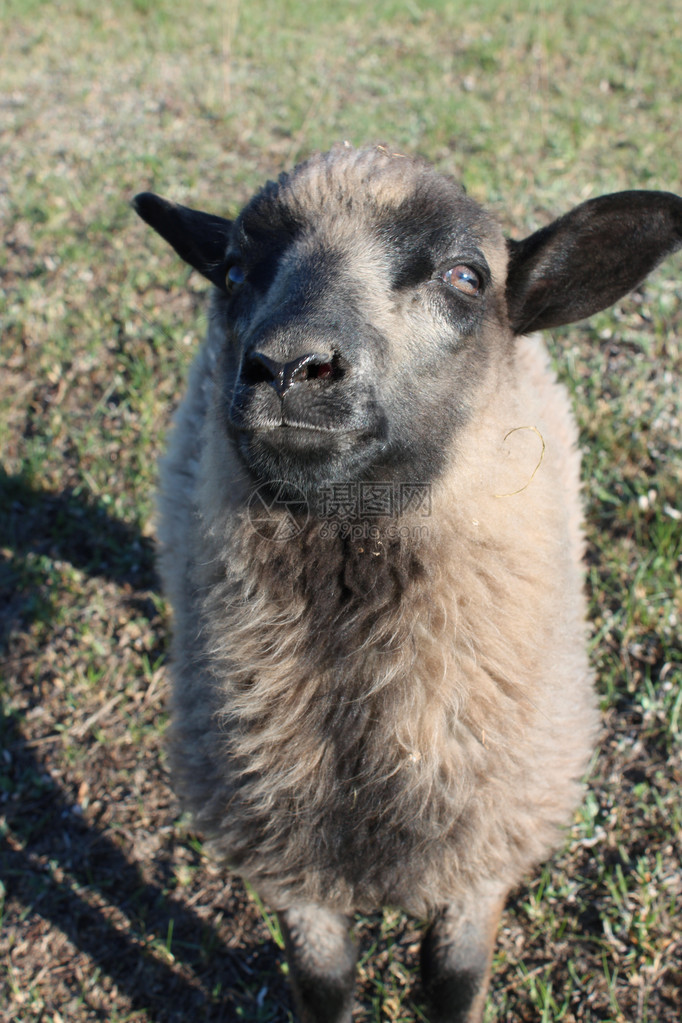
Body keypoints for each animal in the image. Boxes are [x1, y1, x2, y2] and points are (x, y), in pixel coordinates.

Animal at [134, 146, 682, 1023]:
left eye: (467, 276)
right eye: (234, 270)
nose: (289, 365)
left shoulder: (482, 856)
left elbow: (452, 981)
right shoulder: (288, 860)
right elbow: (322, 983)